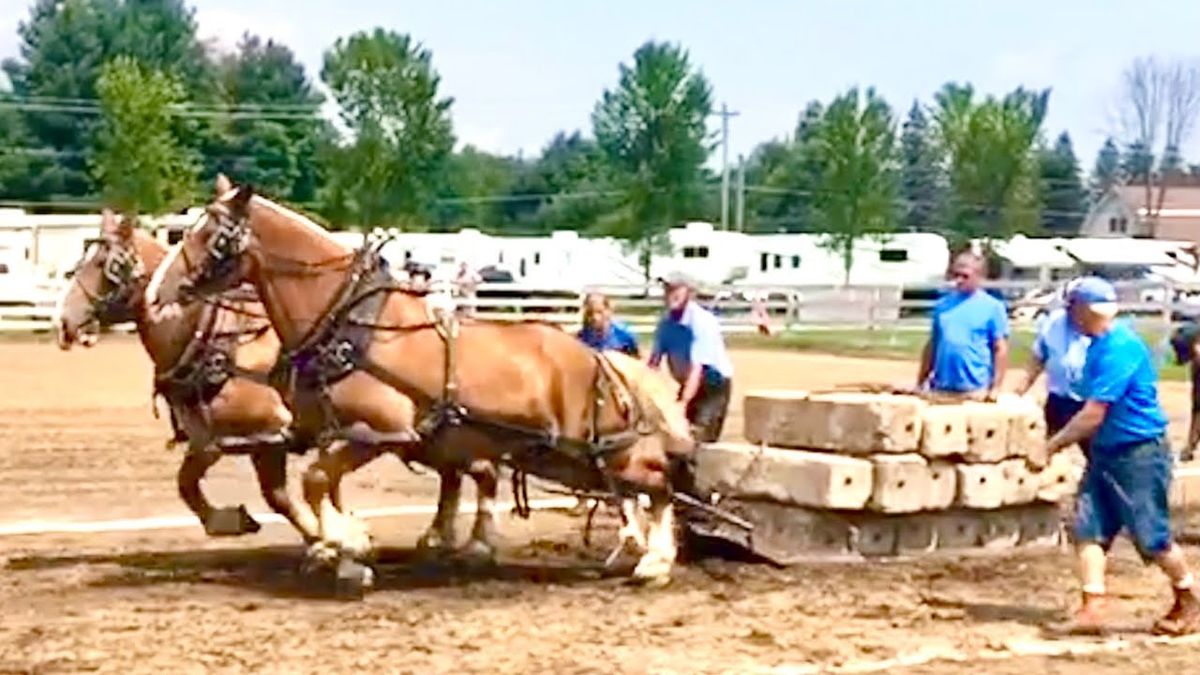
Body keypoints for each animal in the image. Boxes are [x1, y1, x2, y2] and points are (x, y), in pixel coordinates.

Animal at [56, 207, 501, 554]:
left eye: (106, 267)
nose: (62, 322)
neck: (207, 335)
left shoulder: (268, 434)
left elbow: (278, 495)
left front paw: (329, 537)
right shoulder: (212, 439)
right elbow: (188, 483)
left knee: (471, 468)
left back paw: (467, 536)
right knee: (463, 469)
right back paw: (444, 534)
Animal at [147, 174, 696, 588]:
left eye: (211, 237)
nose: (155, 293)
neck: (351, 326)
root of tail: (595, 354)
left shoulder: (381, 432)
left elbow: (316, 479)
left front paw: (347, 542)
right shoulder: (336, 433)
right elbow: (321, 483)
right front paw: (346, 551)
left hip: (595, 449)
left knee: (659, 482)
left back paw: (654, 560)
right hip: (562, 455)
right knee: (634, 488)